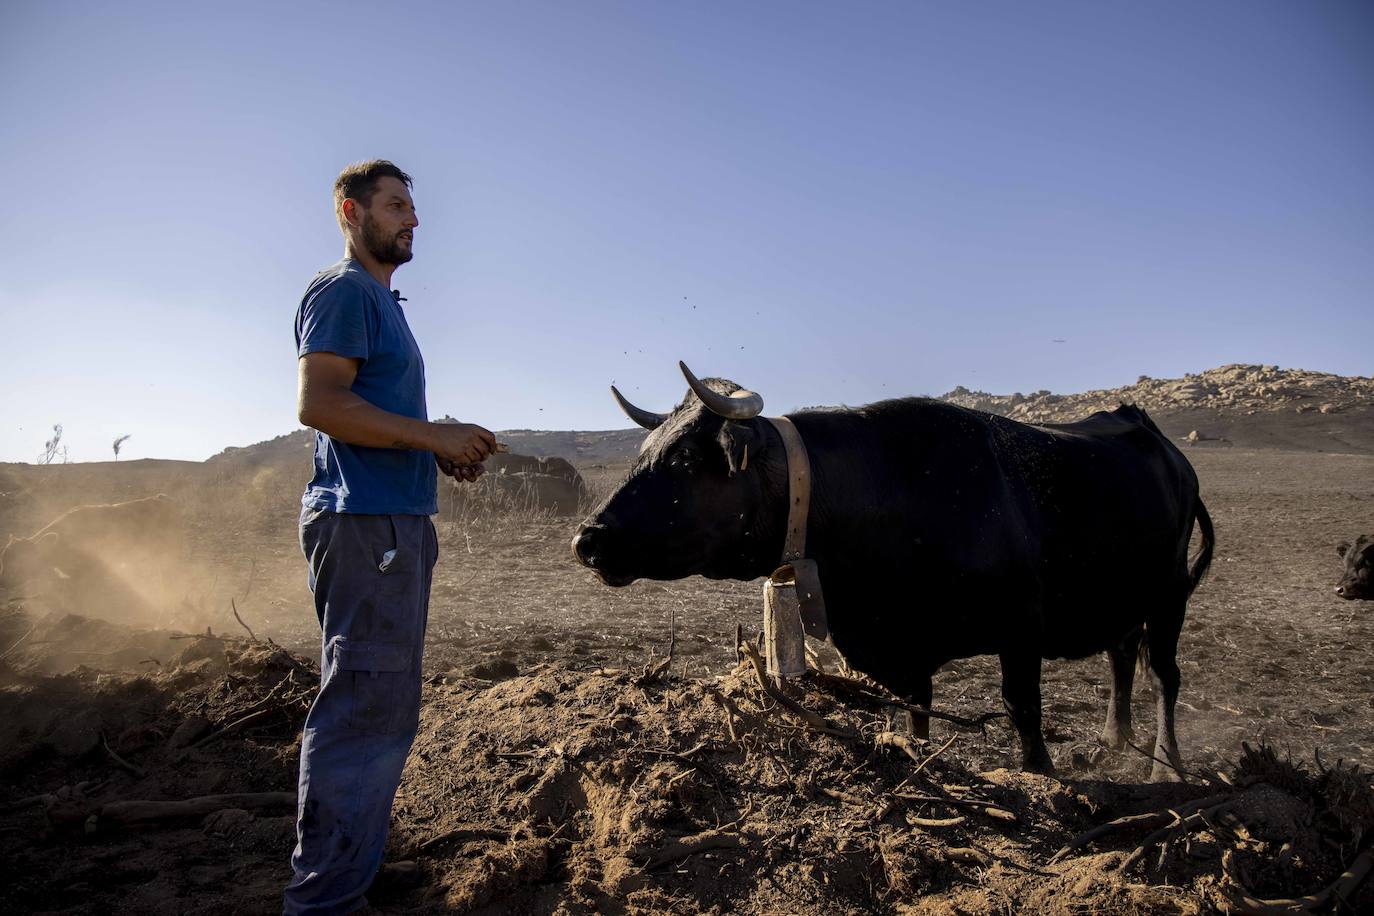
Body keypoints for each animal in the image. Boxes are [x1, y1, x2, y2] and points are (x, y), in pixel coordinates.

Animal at [574, 368, 1220, 780]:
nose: (587, 538)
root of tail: (1156, 437)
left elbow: (1022, 708)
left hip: (1169, 597)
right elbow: (915, 717)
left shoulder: (1020, 627)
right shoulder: (904, 651)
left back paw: (1167, 766)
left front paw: (1041, 775)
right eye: (643, 452)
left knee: (1163, 676)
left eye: (685, 458)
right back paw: (1113, 744)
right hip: (1123, 597)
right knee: (1121, 655)